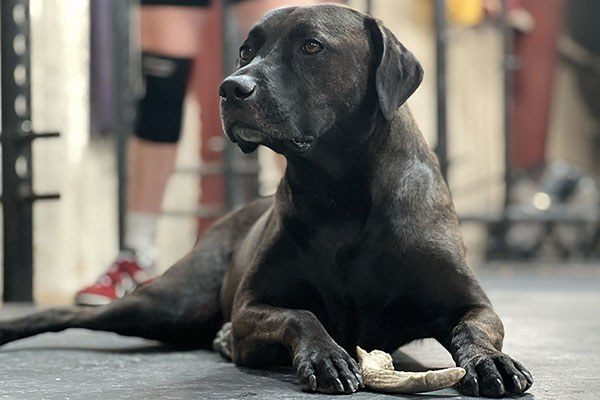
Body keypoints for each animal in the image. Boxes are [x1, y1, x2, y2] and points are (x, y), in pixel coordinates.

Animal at [0, 5, 536, 396]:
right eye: (245, 50)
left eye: (312, 46)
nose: (229, 88)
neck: (342, 192)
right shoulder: (252, 306)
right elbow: (301, 315)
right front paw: (326, 355)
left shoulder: (470, 302)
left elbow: (475, 330)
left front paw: (492, 363)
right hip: (169, 300)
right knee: (67, 316)